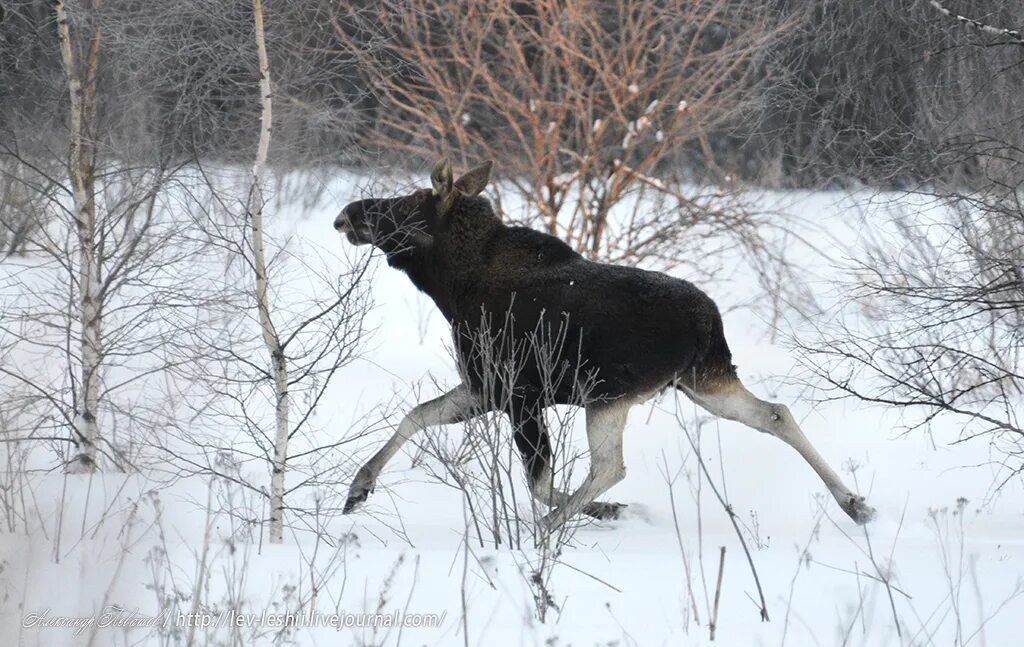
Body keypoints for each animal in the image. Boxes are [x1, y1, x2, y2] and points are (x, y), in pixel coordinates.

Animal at [333, 159, 872, 528]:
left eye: (406, 205)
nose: (346, 214)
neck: (451, 286)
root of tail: (707, 323)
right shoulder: (483, 386)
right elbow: (416, 415)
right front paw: (359, 487)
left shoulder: (515, 393)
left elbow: (539, 481)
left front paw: (598, 511)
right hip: (700, 379)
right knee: (774, 414)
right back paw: (854, 503)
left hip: (608, 391)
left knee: (610, 466)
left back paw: (552, 527)